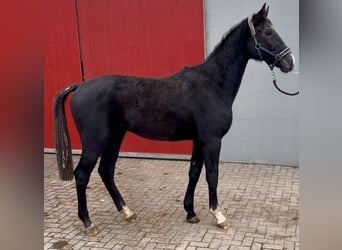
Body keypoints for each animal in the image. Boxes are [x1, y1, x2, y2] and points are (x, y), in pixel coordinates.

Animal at [53, 3, 294, 234]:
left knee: (106, 171)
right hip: (95, 143)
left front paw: (191, 212)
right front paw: (219, 215)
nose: (289, 61)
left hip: (115, 138)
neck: (212, 84)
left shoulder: (199, 140)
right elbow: (212, 175)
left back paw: (127, 212)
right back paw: (88, 223)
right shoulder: (212, 141)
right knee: (82, 175)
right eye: (268, 31)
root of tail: (80, 86)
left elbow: (194, 172)